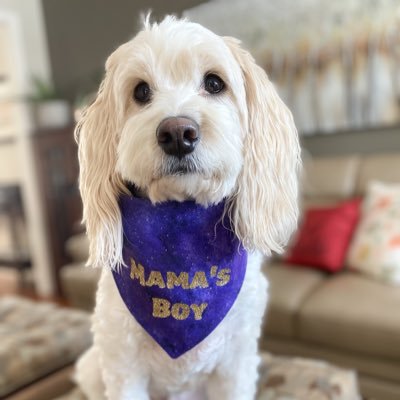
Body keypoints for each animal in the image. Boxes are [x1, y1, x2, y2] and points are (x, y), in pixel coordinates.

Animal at [75, 14, 300, 400]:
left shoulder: (235, 365)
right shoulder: (123, 364)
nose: (178, 132)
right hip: (93, 367)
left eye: (214, 83)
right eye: (140, 91)